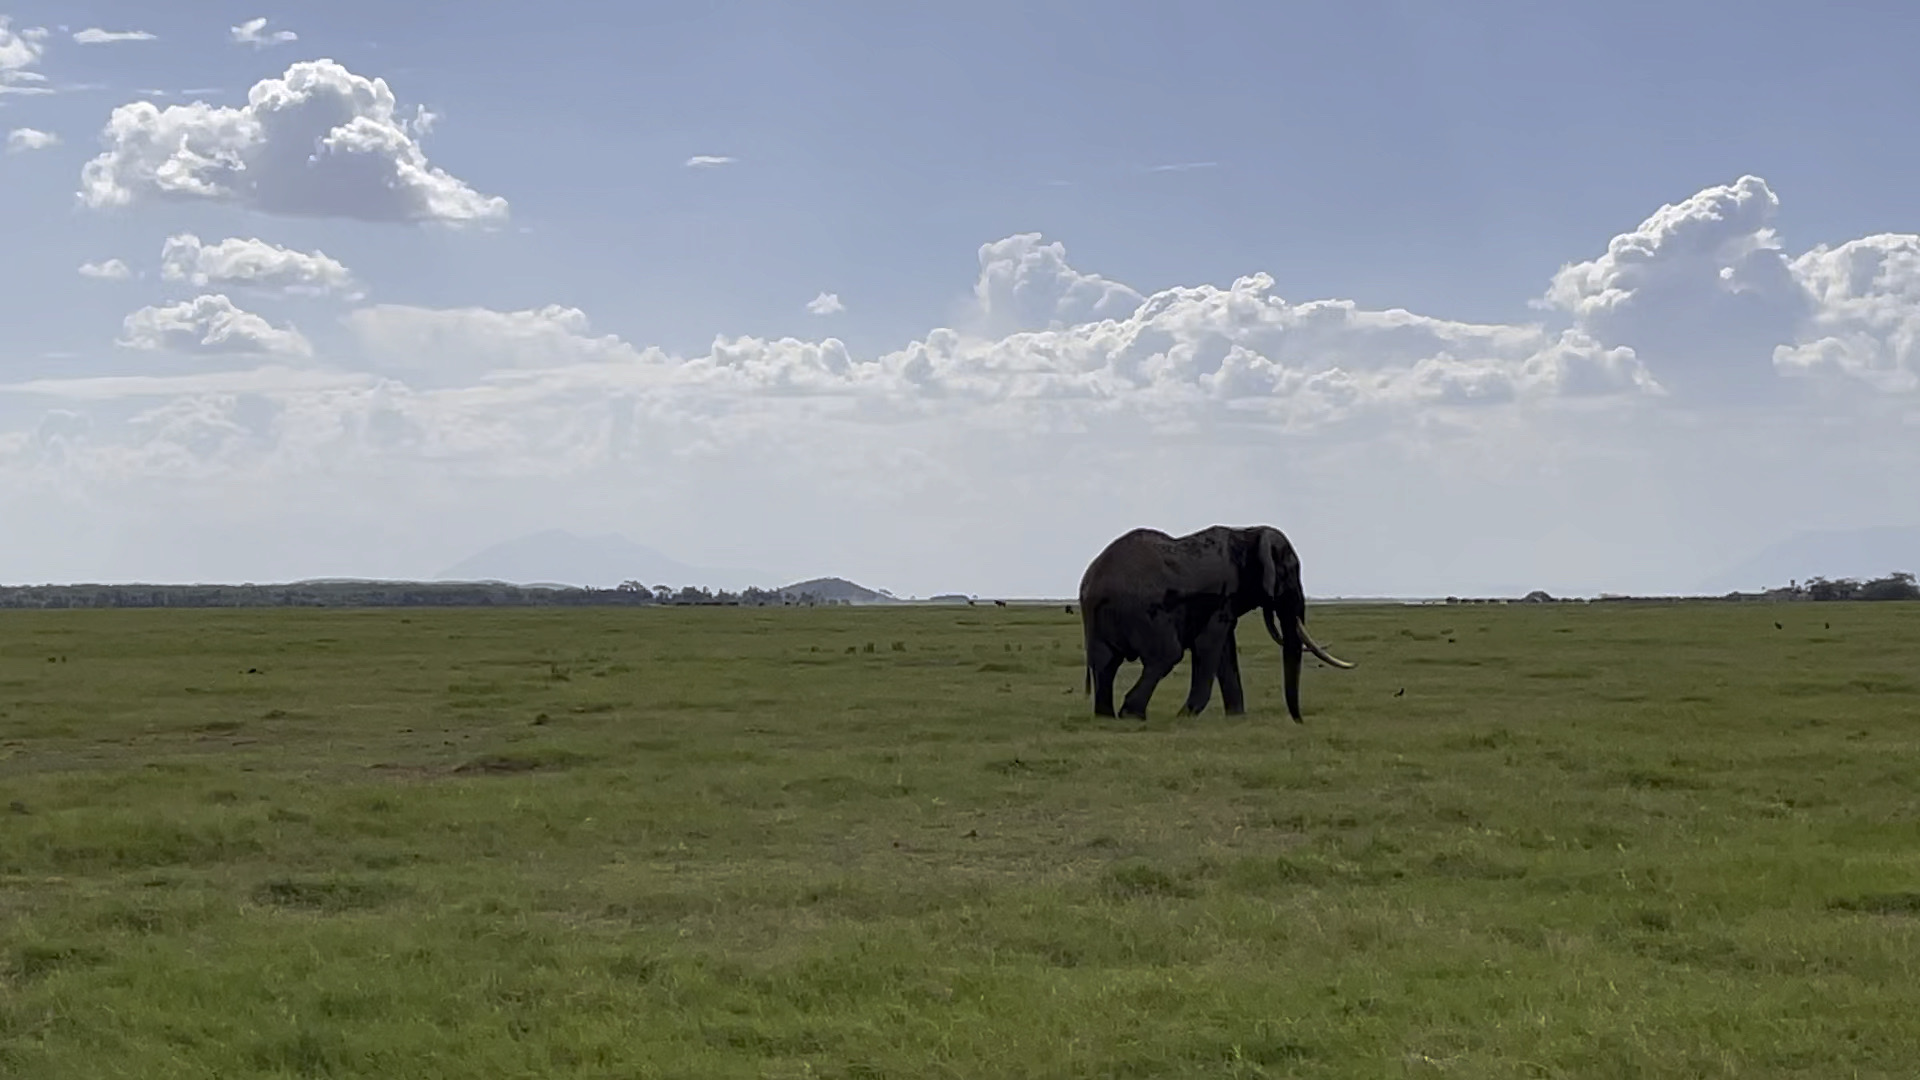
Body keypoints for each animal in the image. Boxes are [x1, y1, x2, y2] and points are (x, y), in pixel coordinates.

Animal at [1075, 522, 1359, 718]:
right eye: (1289, 573)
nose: (1299, 721)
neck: (1247, 533)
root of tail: (1091, 584)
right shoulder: (1220, 598)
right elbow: (1210, 645)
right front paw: (1186, 716)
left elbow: (1225, 651)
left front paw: (1236, 717)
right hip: (1142, 612)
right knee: (1166, 655)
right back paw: (1131, 714)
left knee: (1105, 663)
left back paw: (1107, 717)